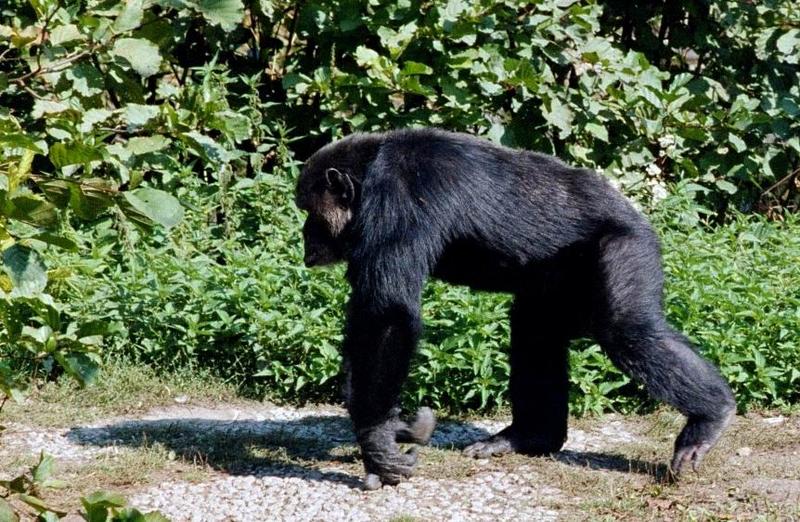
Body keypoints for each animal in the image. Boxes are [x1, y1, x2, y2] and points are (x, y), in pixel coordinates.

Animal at [292, 127, 732, 488]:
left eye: (310, 212)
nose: (305, 234)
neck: (369, 175)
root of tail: (640, 217)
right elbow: (365, 317)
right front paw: (384, 428)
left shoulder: (397, 198)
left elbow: (388, 314)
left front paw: (378, 440)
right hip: (558, 278)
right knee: (534, 331)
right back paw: (529, 436)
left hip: (627, 248)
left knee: (627, 329)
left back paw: (709, 418)